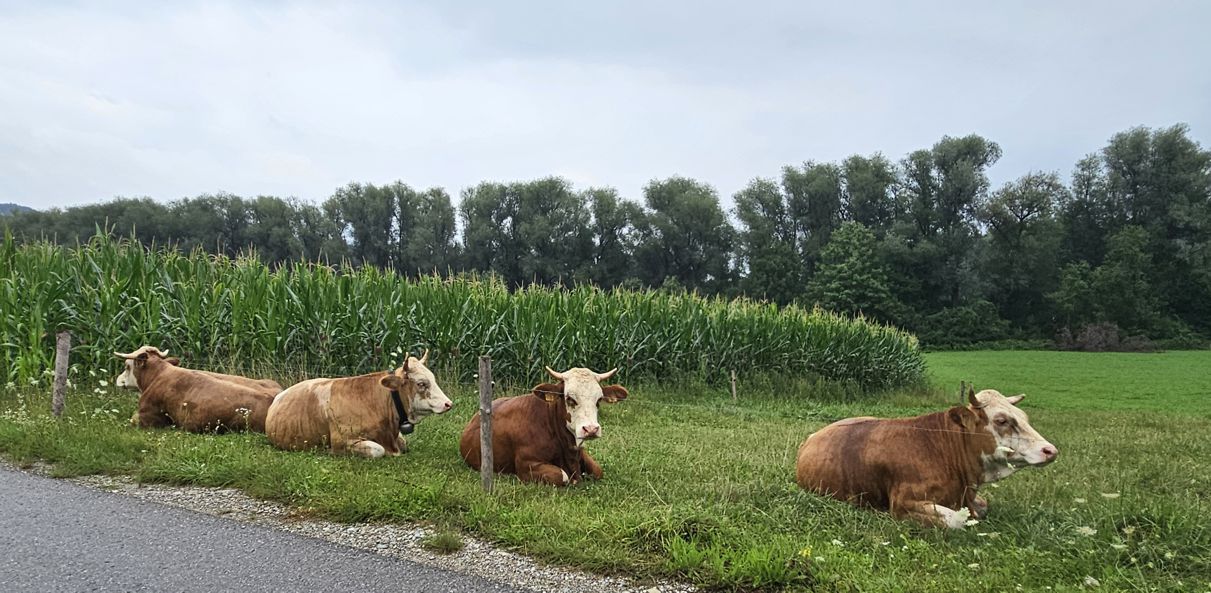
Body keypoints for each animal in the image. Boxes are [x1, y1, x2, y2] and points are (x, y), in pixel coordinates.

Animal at [459, 366, 629, 486]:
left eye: (599, 400)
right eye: (570, 398)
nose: (591, 429)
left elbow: (598, 471)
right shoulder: (526, 465)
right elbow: (562, 475)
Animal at [794, 386, 1058, 528]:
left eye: (1024, 417)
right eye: (1001, 420)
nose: (1050, 450)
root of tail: (813, 435)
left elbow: (982, 507)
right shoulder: (903, 504)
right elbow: (957, 520)